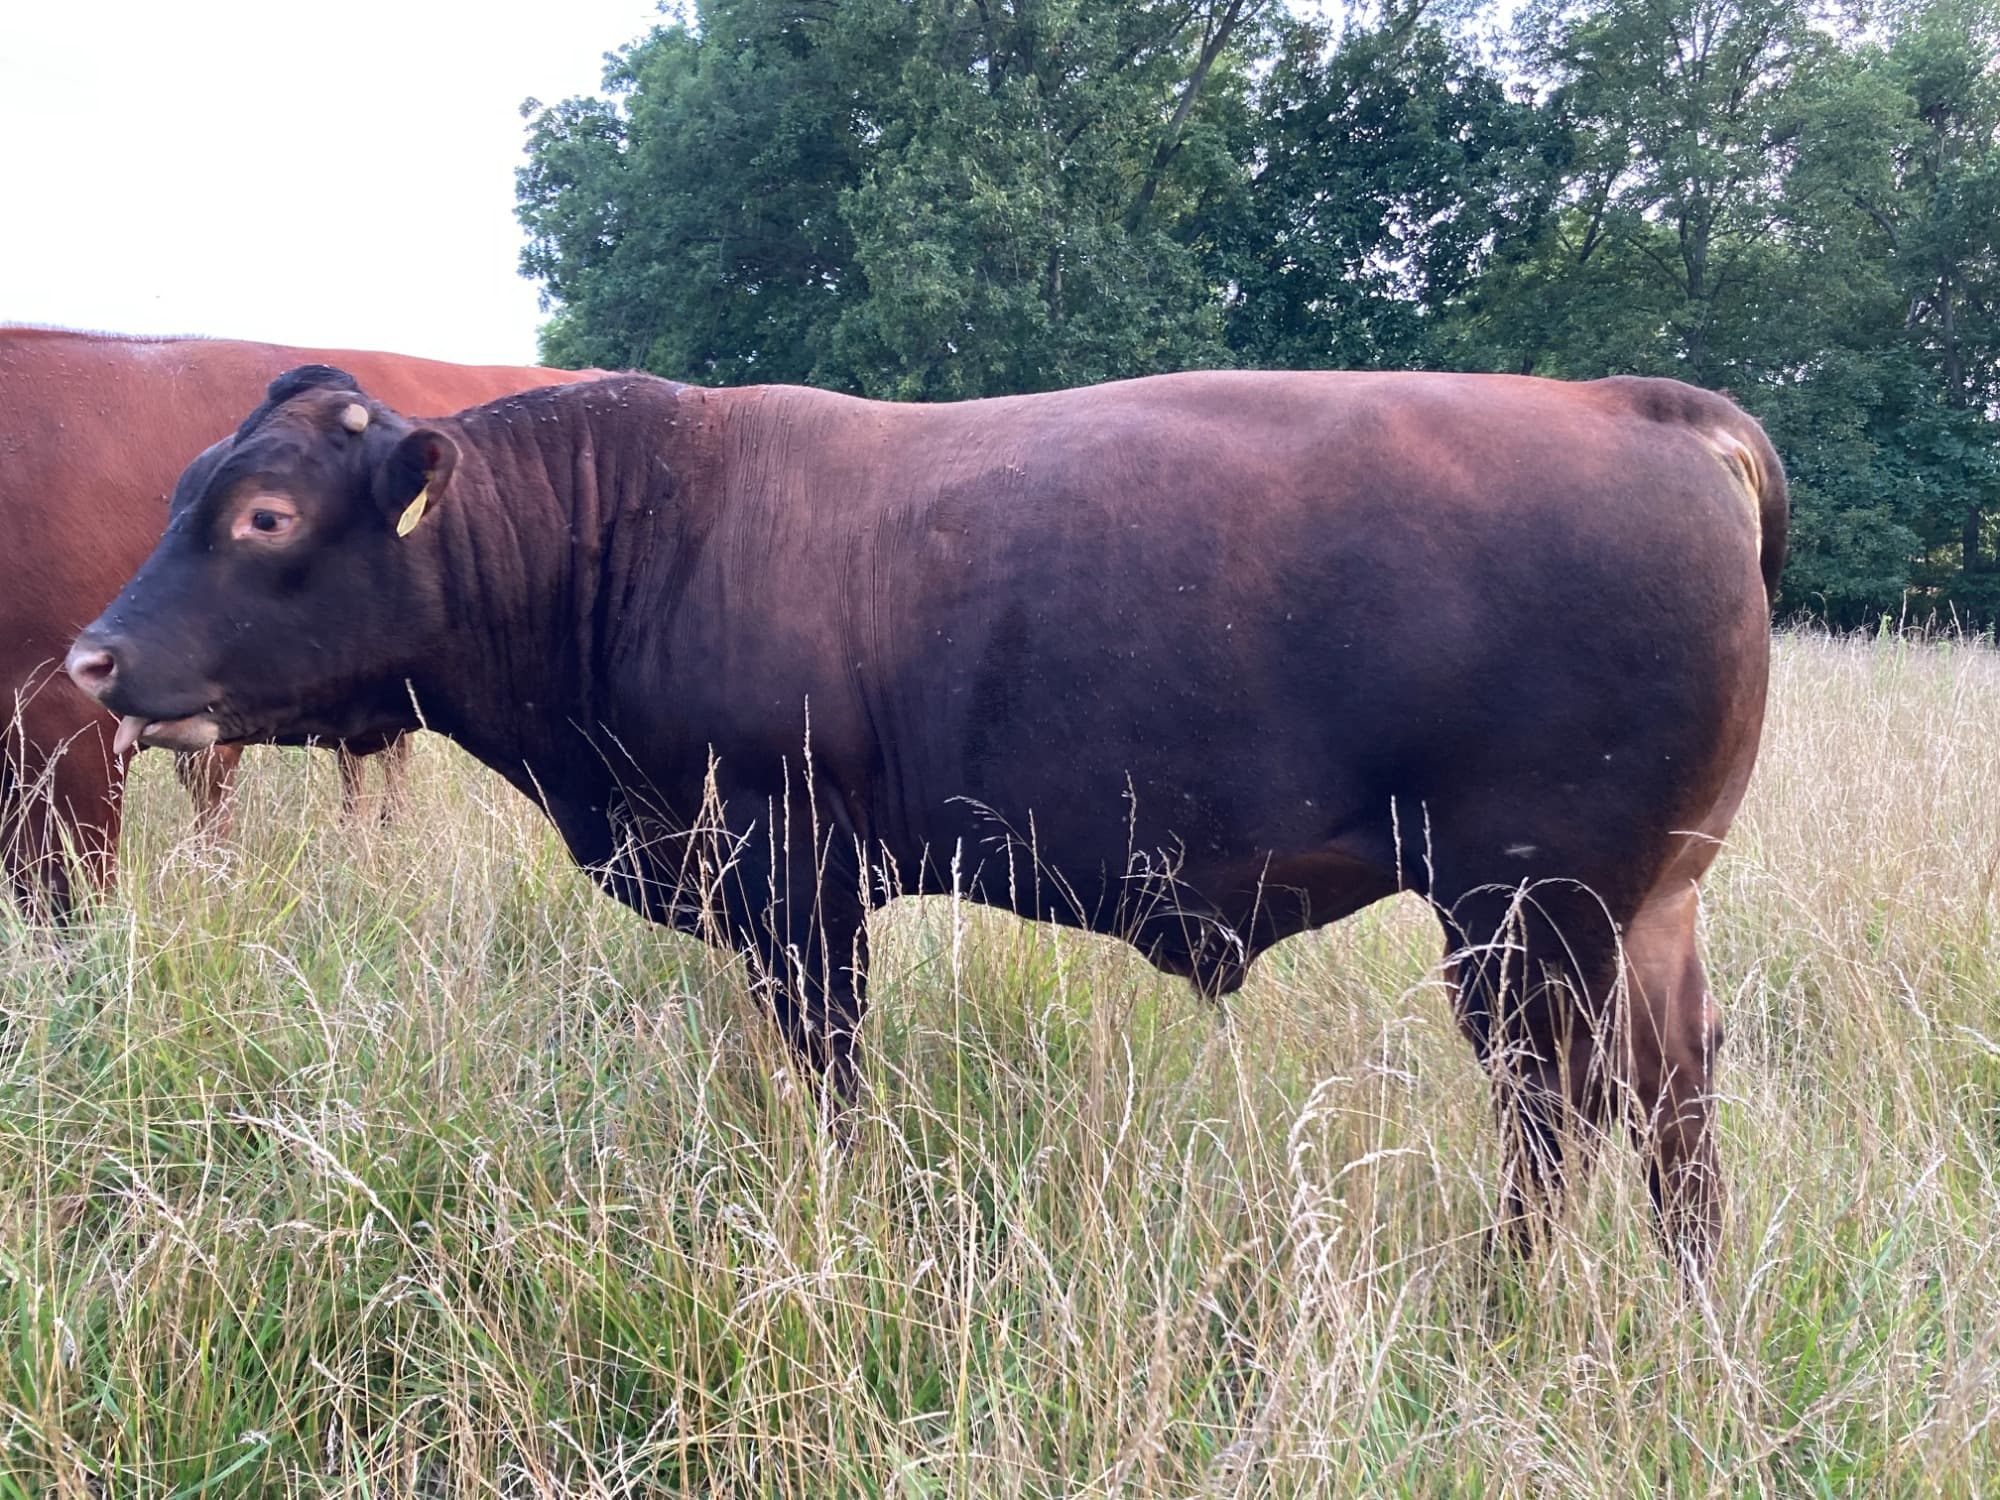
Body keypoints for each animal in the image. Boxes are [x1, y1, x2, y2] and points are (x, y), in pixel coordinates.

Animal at [68, 365, 1787, 1278]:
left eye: (264, 517)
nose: (91, 658)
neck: (631, 533)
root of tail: (1640, 409)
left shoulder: (792, 883)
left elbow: (831, 1076)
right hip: (1648, 911)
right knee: (1676, 1110)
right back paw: (1688, 1299)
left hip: (1527, 918)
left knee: (1556, 1117)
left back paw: (1506, 1295)